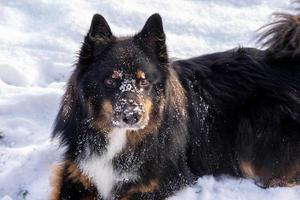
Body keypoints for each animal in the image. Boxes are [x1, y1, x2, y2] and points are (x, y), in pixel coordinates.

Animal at [50, 6, 298, 200]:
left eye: (144, 81)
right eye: (110, 80)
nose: (132, 116)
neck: (121, 138)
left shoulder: (163, 180)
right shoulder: (77, 171)